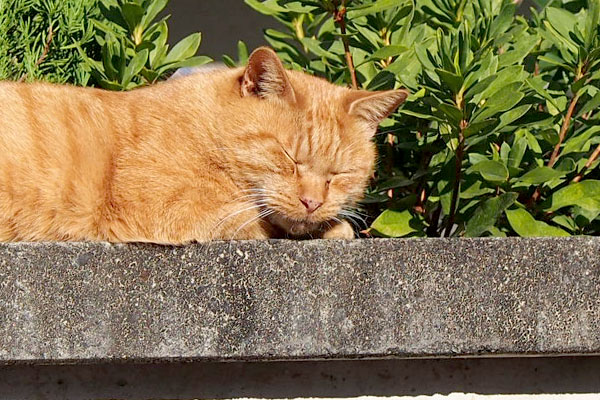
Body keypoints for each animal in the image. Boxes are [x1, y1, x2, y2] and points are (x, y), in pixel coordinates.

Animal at [0, 46, 408, 241]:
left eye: (339, 174)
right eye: (289, 158)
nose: (313, 202)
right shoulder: (171, 209)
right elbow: (258, 221)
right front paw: (337, 229)